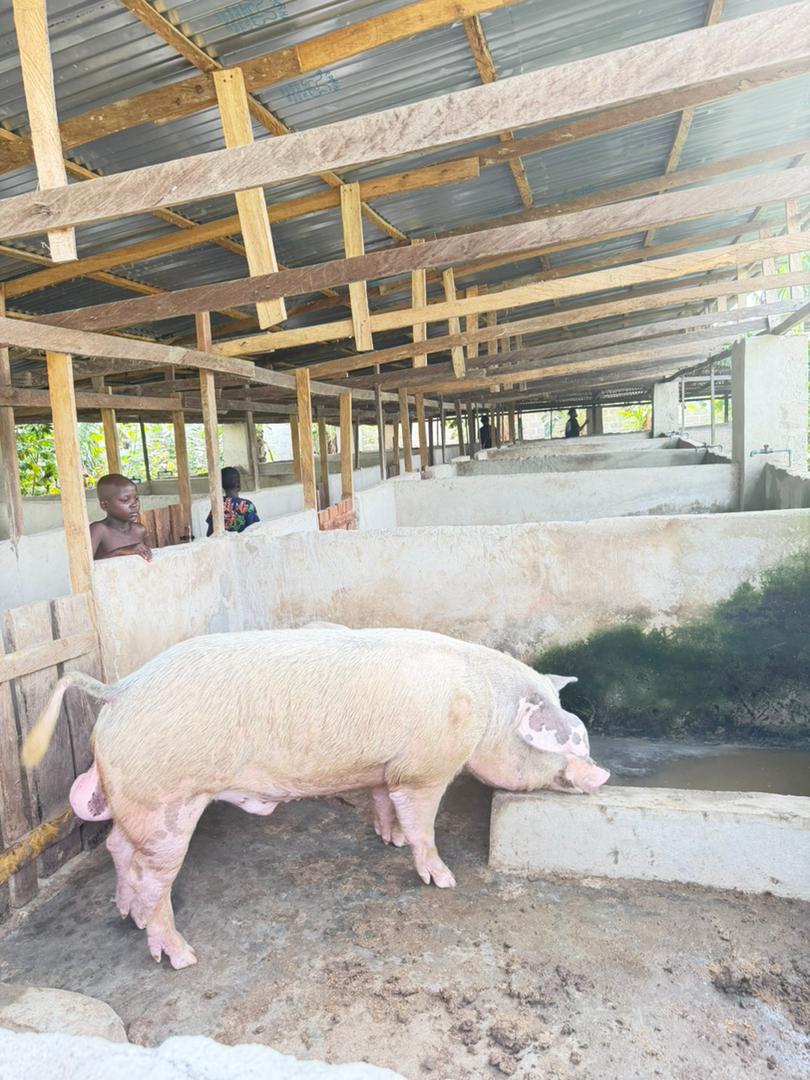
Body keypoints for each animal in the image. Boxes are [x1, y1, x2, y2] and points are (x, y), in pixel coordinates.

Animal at [23, 628, 608, 970]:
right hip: (165, 803)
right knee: (152, 879)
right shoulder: (424, 768)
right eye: (569, 739)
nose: (602, 774)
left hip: (137, 805)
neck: (484, 710)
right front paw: (442, 879)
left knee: (117, 849)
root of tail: (119, 689)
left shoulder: (385, 766)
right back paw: (182, 957)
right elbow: (423, 822)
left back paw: (129, 918)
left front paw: (389, 841)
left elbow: (383, 802)